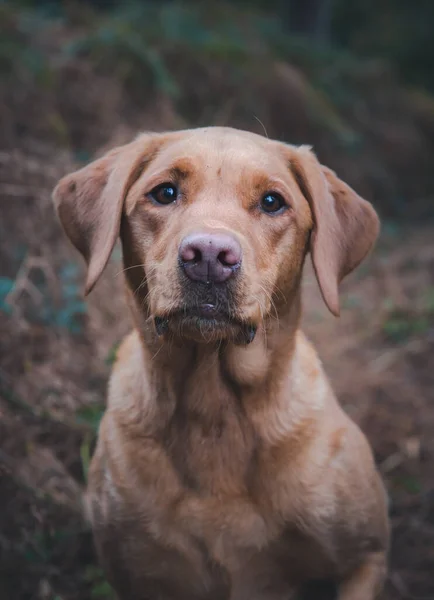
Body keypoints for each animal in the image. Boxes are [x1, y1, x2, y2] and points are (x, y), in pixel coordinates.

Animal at [52, 127, 388, 600]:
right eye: (164, 192)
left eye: (272, 201)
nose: (209, 255)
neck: (214, 410)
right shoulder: (139, 574)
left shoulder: (367, 555)